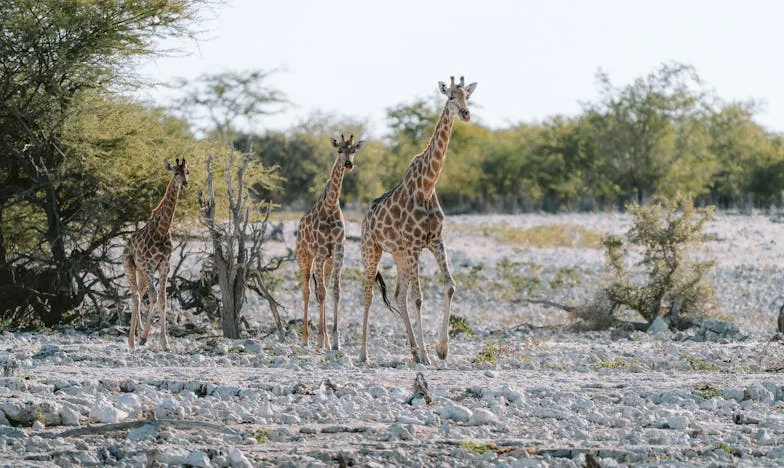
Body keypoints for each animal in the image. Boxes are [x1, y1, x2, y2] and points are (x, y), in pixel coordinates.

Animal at [122, 158, 190, 352]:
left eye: (187, 172)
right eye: (176, 172)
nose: (185, 183)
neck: (162, 230)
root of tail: (126, 246)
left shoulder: (165, 265)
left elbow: (162, 300)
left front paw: (165, 343)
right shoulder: (149, 265)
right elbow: (153, 297)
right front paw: (145, 337)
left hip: (141, 273)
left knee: (139, 294)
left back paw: (137, 335)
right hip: (130, 266)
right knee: (136, 297)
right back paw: (132, 341)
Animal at [296, 133, 366, 350]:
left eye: (354, 150)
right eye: (339, 150)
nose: (348, 164)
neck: (330, 206)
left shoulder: (337, 252)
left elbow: (335, 291)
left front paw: (335, 340)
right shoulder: (319, 253)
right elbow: (320, 293)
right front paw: (319, 340)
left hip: (326, 261)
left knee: (323, 289)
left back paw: (325, 340)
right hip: (304, 257)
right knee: (308, 291)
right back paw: (306, 339)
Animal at [358, 75, 474, 364]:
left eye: (468, 95)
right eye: (451, 97)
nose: (465, 113)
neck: (428, 185)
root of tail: (365, 220)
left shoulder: (434, 240)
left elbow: (450, 285)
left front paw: (441, 350)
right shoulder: (414, 245)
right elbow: (419, 297)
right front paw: (428, 354)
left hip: (399, 255)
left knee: (398, 296)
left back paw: (412, 350)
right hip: (371, 250)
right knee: (368, 294)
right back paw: (364, 353)